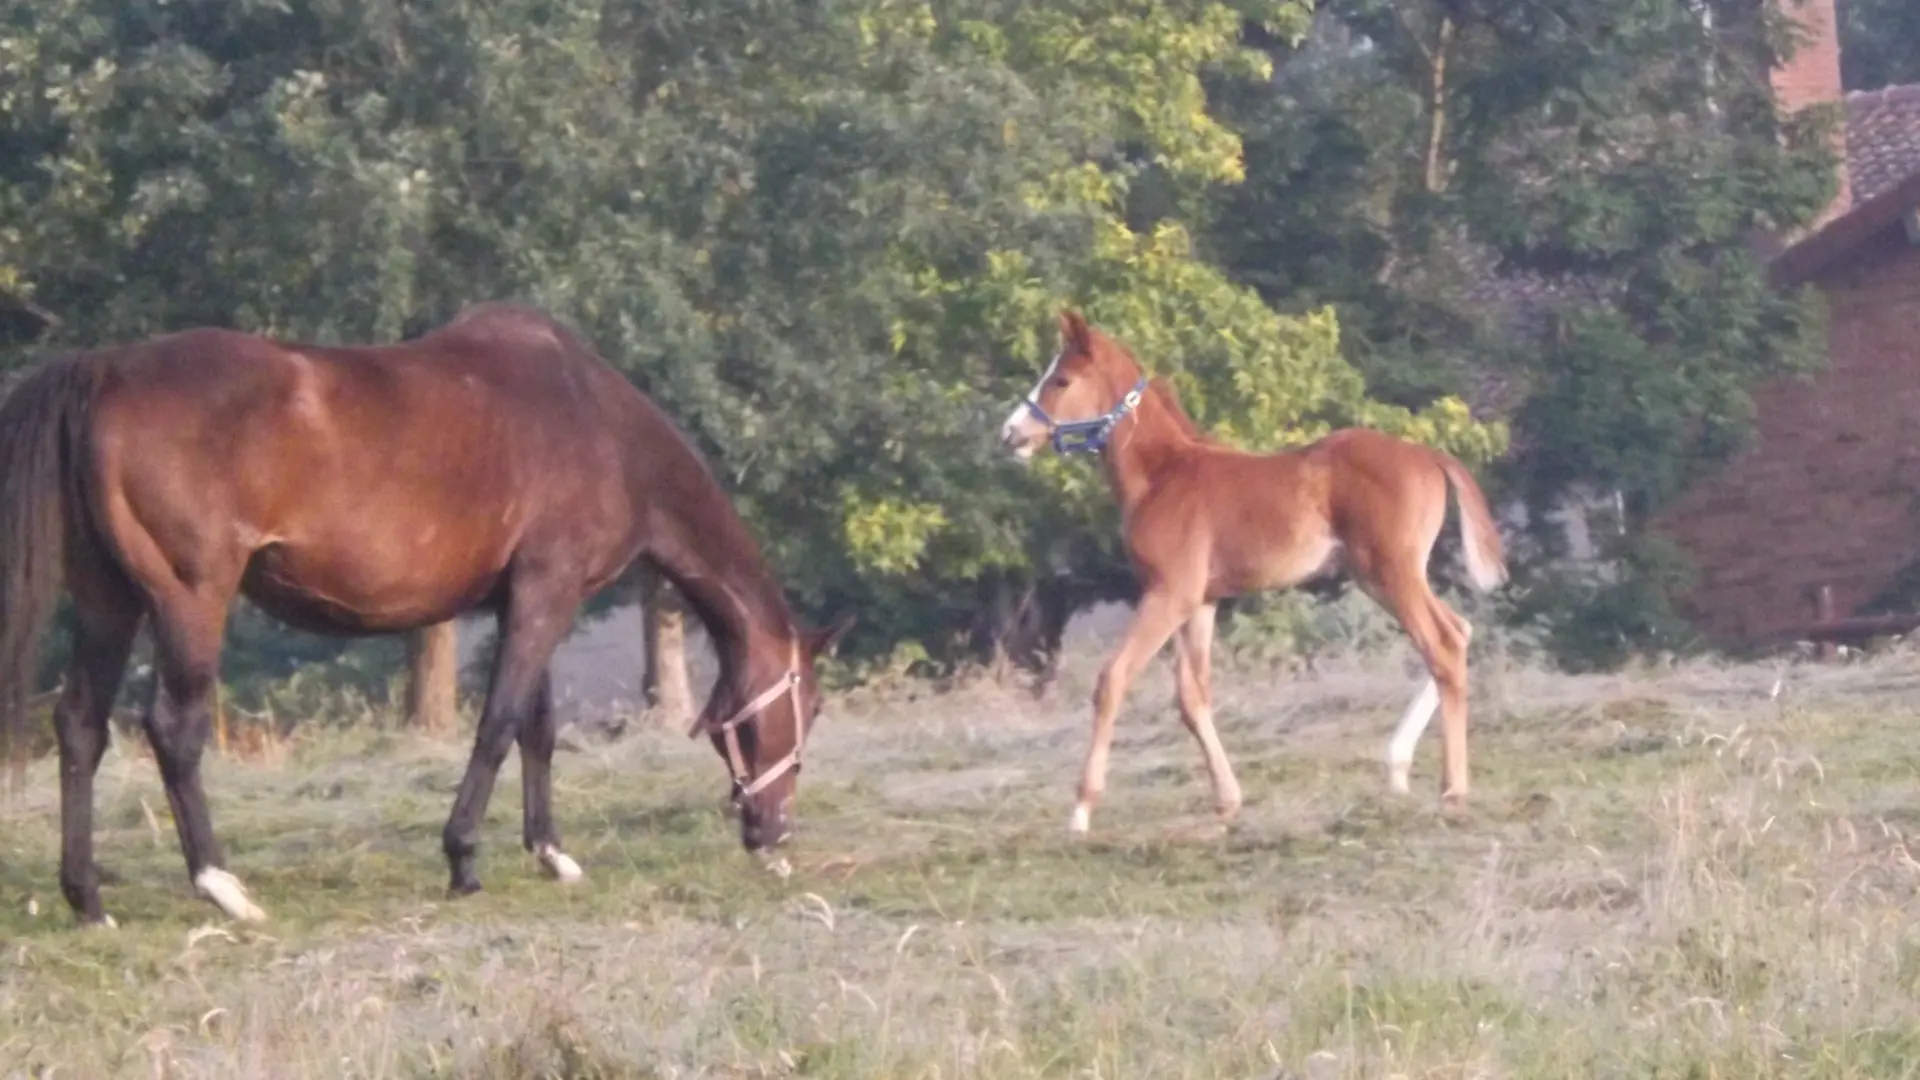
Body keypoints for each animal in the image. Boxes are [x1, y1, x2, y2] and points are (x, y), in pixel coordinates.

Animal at [0, 303, 848, 926]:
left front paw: (551, 854)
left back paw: (87, 898)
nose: (774, 833)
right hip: (188, 600)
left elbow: (537, 729)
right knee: (173, 731)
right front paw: (463, 859)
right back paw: (223, 887)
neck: (597, 422)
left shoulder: (526, 599)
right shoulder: (546, 594)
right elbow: (499, 724)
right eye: (806, 706)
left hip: (108, 602)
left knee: (80, 726)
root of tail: (105, 369)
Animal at [998, 311, 1505, 834]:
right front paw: (1227, 800)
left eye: (1061, 379)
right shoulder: (1201, 601)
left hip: (1389, 572)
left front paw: (1081, 809)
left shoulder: (1169, 593)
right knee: (1459, 631)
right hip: (1387, 576)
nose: (1010, 433)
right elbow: (1192, 695)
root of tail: (1428, 456)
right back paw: (1402, 765)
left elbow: (1112, 678)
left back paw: (1451, 788)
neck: (1163, 475)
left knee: (1442, 645)